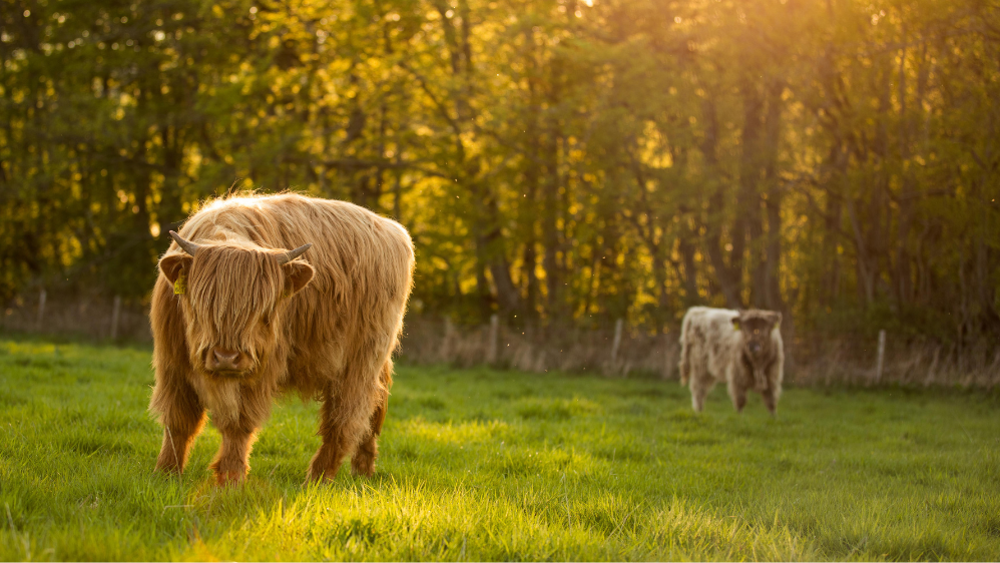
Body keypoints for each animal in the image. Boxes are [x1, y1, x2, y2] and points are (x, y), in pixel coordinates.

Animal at [149, 193, 414, 485]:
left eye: (263, 311)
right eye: (201, 304)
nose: (226, 357)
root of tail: (391, 228)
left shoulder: (260, 366)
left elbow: (238, 424)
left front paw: (230, 479)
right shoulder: (172, 365)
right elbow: (178, 421)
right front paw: (166, 472)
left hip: (362, 360)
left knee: (346, 417)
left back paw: (318, 479)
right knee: (373, 408)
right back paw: (362, 472)